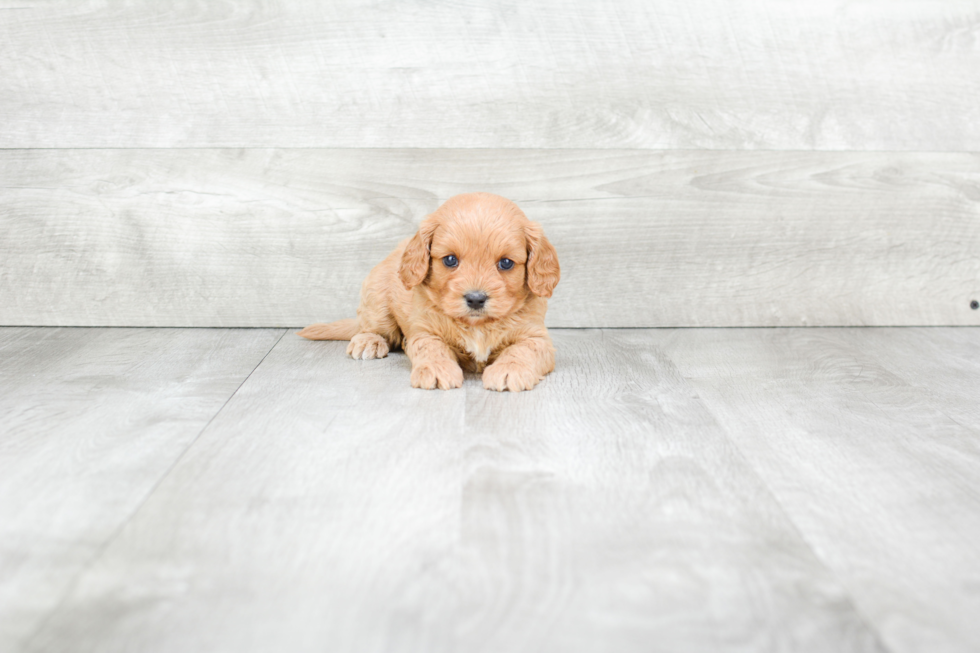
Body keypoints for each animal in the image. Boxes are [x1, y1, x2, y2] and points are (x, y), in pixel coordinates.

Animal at [296, 191, 560, 390]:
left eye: (506, 263)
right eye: (450, 260)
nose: (475, 299)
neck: (478, 326)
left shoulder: (537, 337)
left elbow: (523, 350)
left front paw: (509, 370)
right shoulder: (425, 332)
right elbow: (433, 349)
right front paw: (436, 370)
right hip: (377, 296)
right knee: (371, 327)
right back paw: (368, 341)